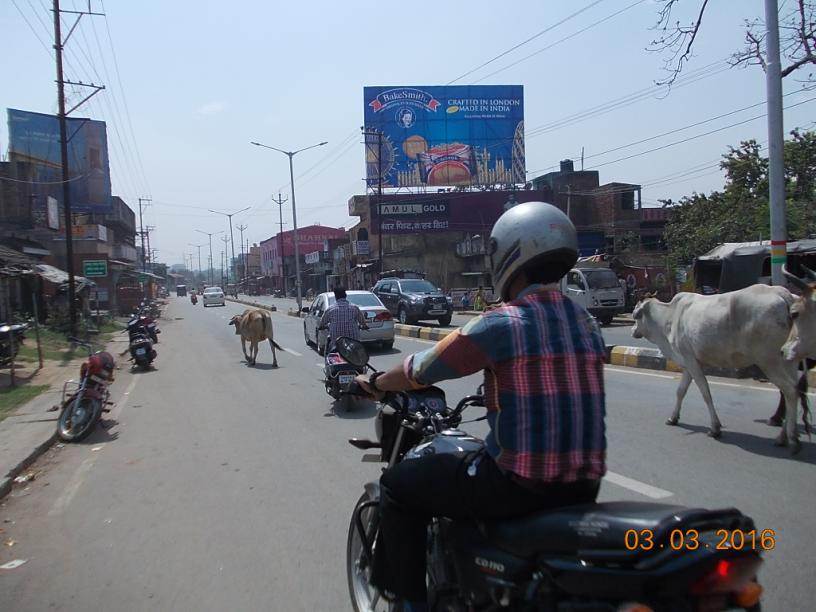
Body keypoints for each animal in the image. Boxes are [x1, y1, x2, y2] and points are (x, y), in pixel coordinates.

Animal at [632, 284, 804, 452]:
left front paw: (715, 428)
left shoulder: (691, 361)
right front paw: (673, 418)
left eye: (635, 314)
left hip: (769, 361)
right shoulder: (688, 363)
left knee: (790, 391)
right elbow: (680, 391)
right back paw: (783, 436)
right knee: (793, 390)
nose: (633, 330)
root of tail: (782, 292)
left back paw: (792, 439)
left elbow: (705, 393)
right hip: (788, 361)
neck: (668, 316)